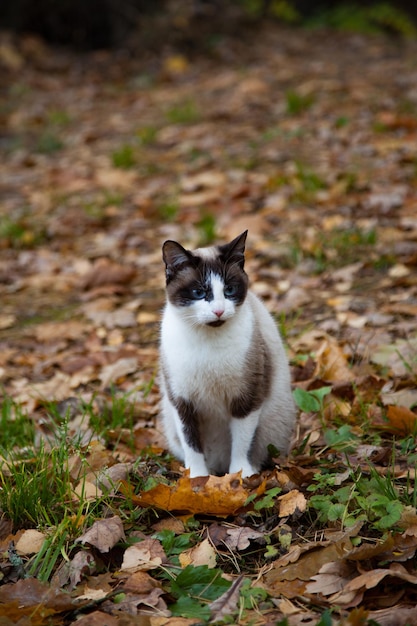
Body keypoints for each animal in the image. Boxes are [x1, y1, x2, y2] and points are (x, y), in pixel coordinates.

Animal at [158, 230, 296, 478]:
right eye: (199, 293)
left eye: (229, 290)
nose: (219, 311)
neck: (208, 342)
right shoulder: (182, 402)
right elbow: (191, 445)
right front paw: (197, 480)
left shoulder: (247, 397)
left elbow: (241, 443)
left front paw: (240, 476)